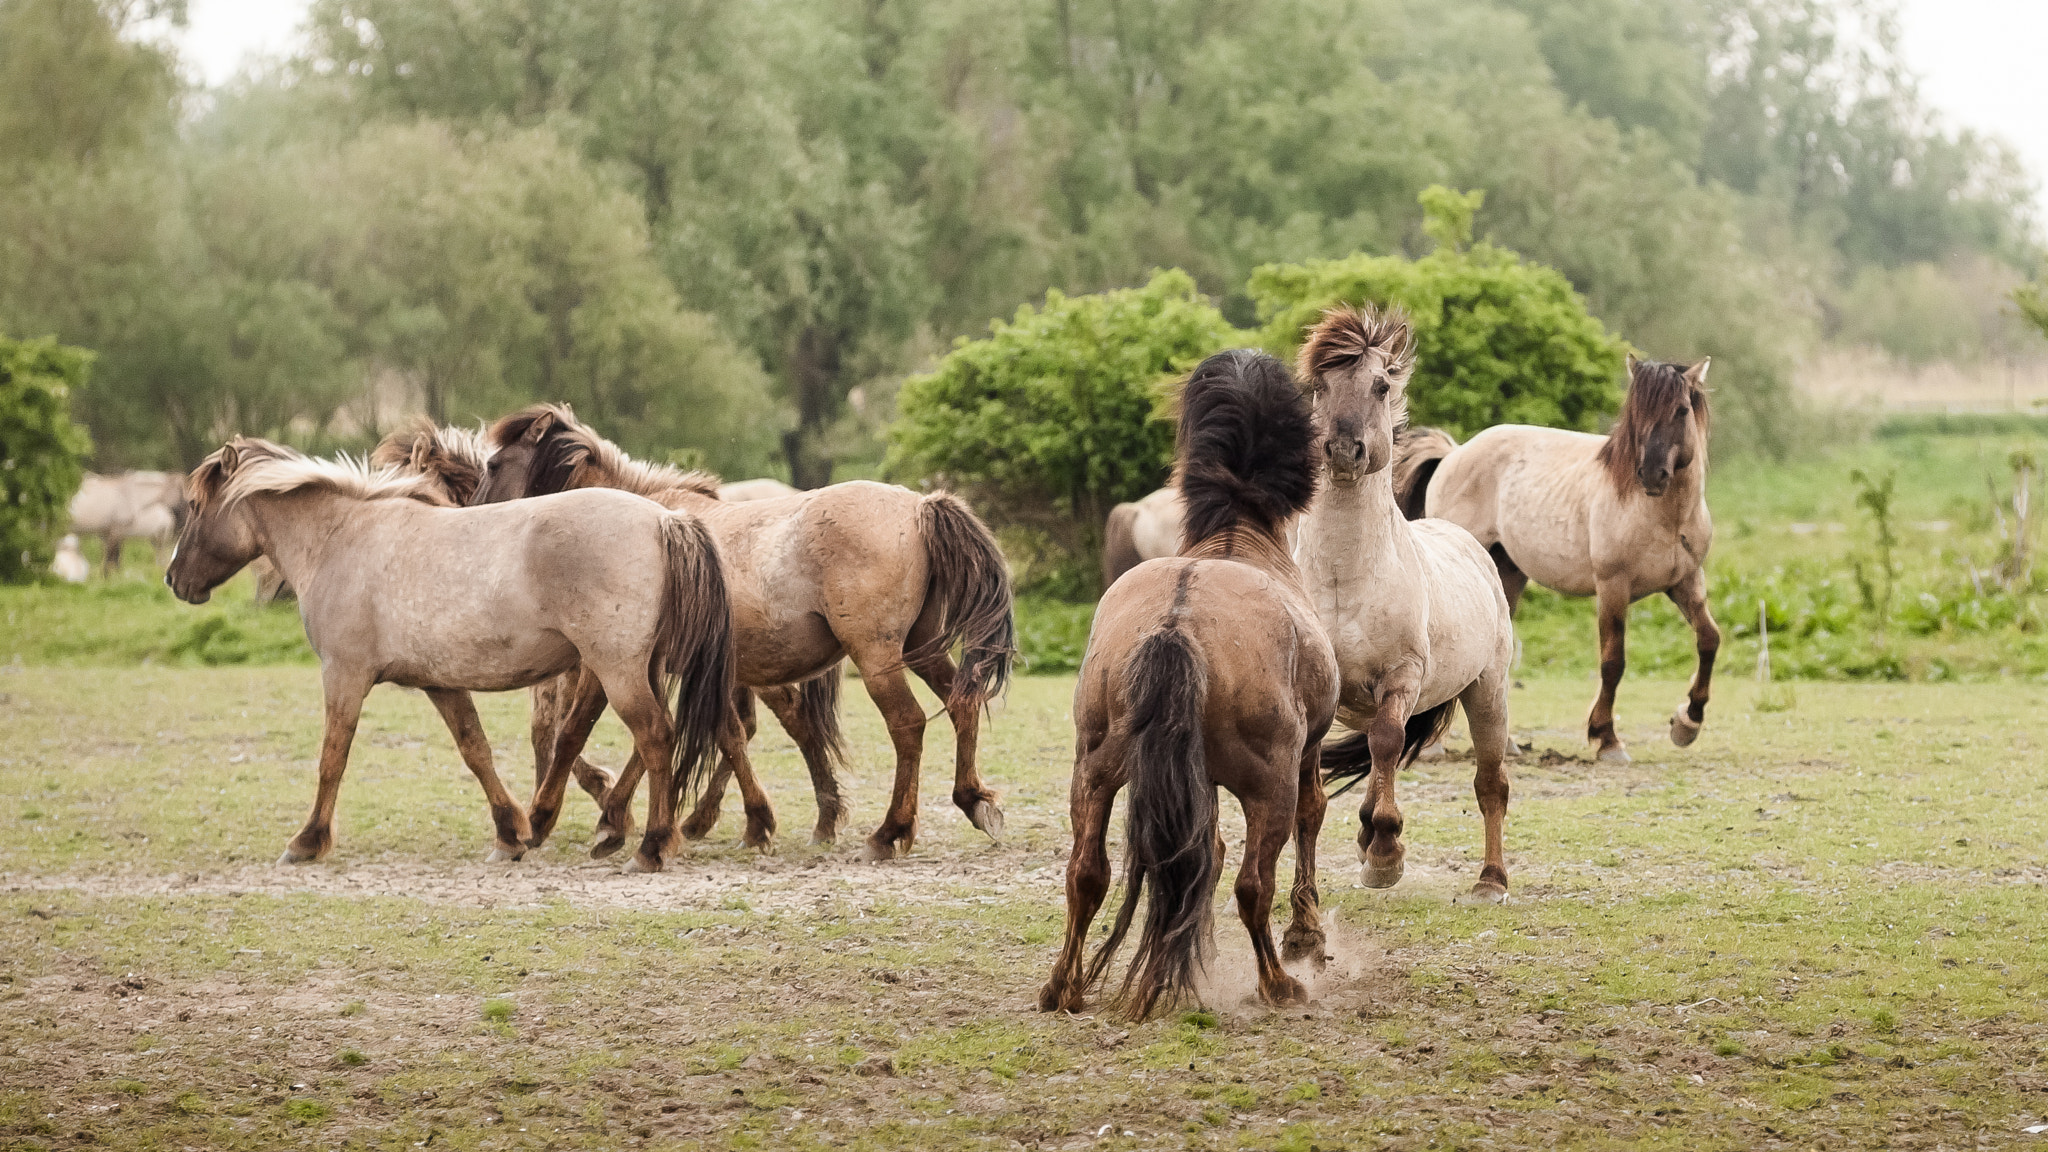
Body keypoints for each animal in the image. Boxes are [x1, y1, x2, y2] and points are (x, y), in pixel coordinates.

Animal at [163, 436, 737, 869]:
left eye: (195, 506)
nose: (173, 579)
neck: (341, 539)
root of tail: (664, 519)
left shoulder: (344, 676)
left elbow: (332, 758)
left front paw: (307, 841)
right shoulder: (440, 683)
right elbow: (475, 750)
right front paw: (510, 833)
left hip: (618, 669)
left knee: (655, 737)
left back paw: (652, 846)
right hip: (628, 669)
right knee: (637, 738)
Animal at [479, 403, 1024, 852]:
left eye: (494, 464)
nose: (478, 517)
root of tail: (920, 507)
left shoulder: (610, 662)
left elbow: (577, 733)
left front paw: (546, 820)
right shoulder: (686, 669)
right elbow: (706, 735)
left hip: (877, 657)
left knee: (908, 724)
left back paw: (890, 832)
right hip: (920, 647)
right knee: (962, 701)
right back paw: (973, 800)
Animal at [1040, 348, 1343, 1012]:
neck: (1236, 539)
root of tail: (1177, 622)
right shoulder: (1306, 754)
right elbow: (1311, 818)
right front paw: (1307, 938)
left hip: (1094, 771)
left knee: (1085, 873)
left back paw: (1062, 986)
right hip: (1268, 784)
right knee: (1254, 884)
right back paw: (1278, 982)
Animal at [1294, 305, 1523, 897]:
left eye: (1380, 385)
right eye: (1318, 386)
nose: (1342, 450)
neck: (1344, 581)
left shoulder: (1401, 677)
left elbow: (1388, 742)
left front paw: (1386, 855)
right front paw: (1370, 845)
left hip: (1488, 692)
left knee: (1489, 783)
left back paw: (1490, 881)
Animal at [1400, 354, 1720, 758]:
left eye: (1681, 410)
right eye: (1636, 413)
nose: (1651, 474)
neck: (1664, 516)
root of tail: (1454, 453)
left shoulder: (1686, 582)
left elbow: (1709, 640)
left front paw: (1686, 723)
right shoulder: (1613, 588)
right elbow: (1613, 662)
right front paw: (1607, 738)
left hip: (1507, 576)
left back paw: (1505, 744)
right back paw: (1432, 746)